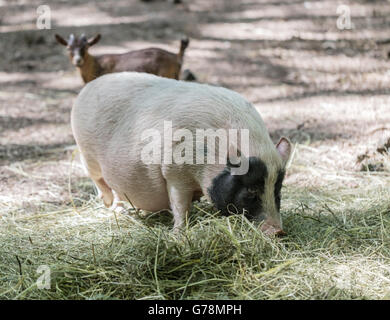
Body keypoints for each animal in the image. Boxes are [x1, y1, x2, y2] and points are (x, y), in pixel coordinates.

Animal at [71, 72, 290, 235]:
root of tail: (88, 87)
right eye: (251, 191)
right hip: (87, 154)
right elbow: (179, 205)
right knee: (100, 182)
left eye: (277, 191)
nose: (278, 231)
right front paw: (178, 234)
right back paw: (114, 207)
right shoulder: (174, 173)